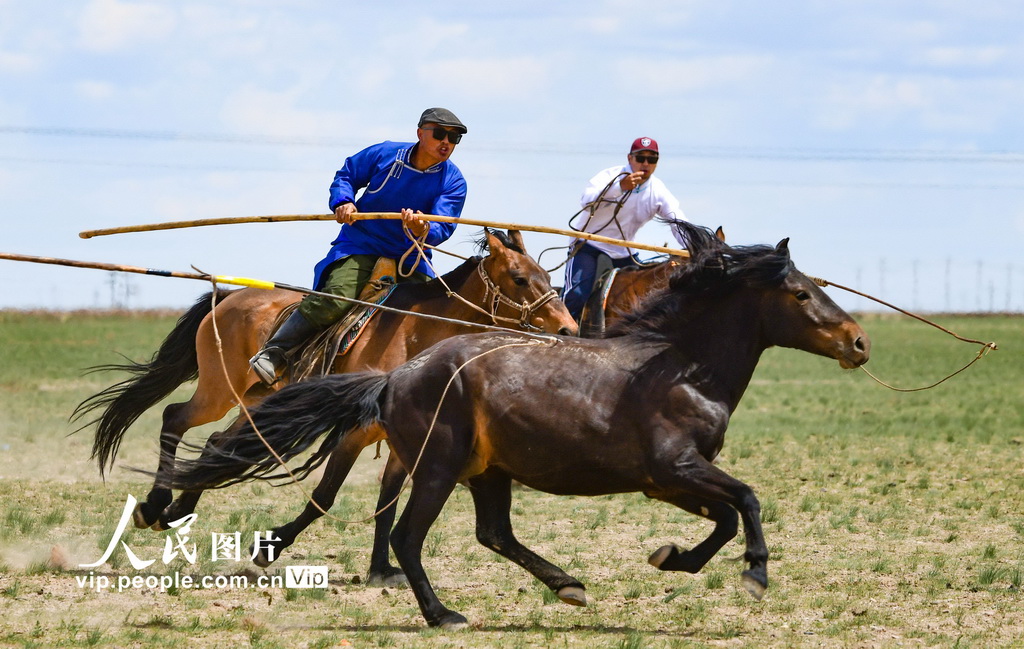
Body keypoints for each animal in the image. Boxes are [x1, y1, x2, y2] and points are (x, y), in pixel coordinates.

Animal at [75, 229, 577, 584]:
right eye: (520, 279)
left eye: (548, 277)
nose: (569, 330)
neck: (415, 332)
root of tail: (230, 295)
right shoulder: (355, 432)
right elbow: (325, 496)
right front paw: (271, 546)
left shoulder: (405, 440)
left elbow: (386, 502)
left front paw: (381, 570)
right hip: (219, 391)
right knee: (175, 418)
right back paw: (156, 504)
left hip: (258, 401)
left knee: (219, 443)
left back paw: (176, 508)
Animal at [162, 222, 870, 629]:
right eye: (801, 294)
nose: (859, 341)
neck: (675, 364)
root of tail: (397, 378)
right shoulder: (675, 467)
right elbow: (747, 500)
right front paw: (755, 574)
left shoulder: (668, 481)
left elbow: (724, 515)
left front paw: (673, 559)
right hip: (434, 464)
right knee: (410, 535)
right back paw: (443, 614)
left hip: (486, 470)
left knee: (493, 533)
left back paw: (567, 586)